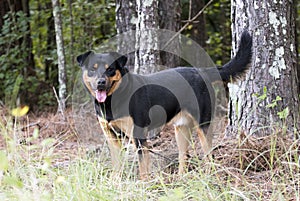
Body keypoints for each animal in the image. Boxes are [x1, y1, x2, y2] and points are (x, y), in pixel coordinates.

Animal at [76, 30, 252, 179]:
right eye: (92, 69)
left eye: (110, 69)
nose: (100, 82)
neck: (112, 99)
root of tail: (201, 71)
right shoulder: (111, 137)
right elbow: (117, 166)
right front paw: (115, 183)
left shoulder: (138, 136)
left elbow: (143, 168)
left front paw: (143, 186)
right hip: (181, 129)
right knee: (183, 156)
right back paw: (180, 180)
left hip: (203, 124)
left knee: (209, 155)